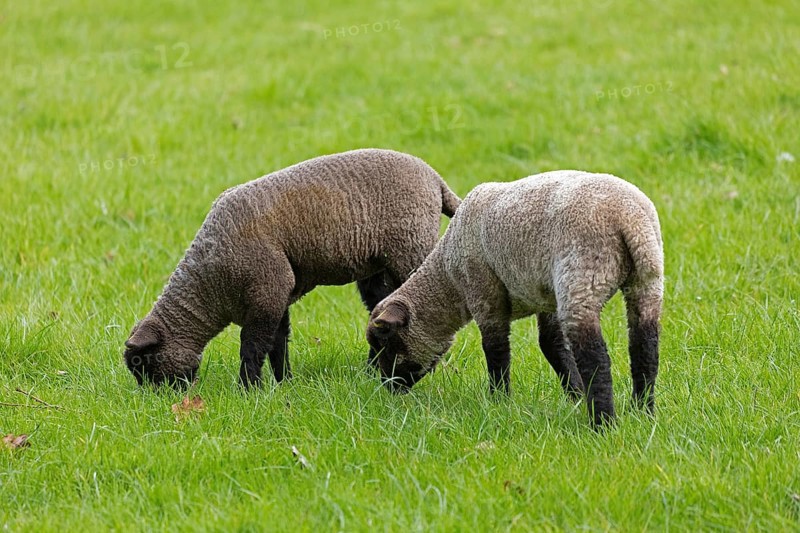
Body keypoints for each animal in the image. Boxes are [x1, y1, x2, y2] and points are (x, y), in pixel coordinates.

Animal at [124, 148, 461, 388]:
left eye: (143, 365)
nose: (157, 400)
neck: (210, 283)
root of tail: (434, 178)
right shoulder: (277, 297)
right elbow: (278, 343)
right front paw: (283, 382)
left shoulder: (267, 292)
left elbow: (253, 346)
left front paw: (248, 389)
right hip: (377, 269)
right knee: (379, 308)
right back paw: (369, 370)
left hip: (411, 247)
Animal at [367, 170, 663, 427]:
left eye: (385, 343)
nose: (388, 388)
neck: (448, 282)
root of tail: (630, 218)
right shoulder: (547, 295)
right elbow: (552, 345)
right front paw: (576, 396)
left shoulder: (483, 293)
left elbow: (496, 350)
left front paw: (499, 401)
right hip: (646, 282)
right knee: (645, 348)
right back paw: (642, 413)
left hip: (581, 277)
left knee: (596, 358)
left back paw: (603, 424)